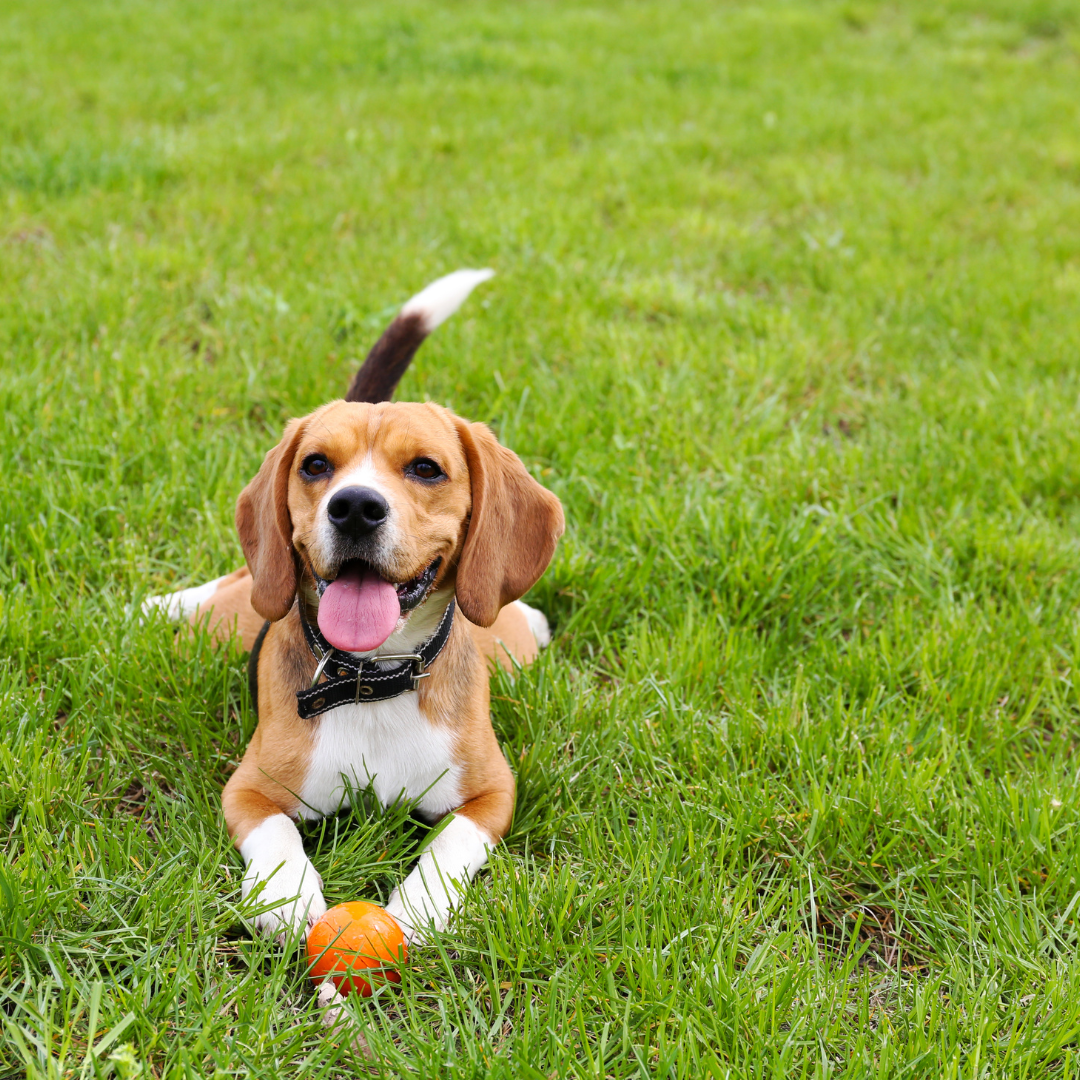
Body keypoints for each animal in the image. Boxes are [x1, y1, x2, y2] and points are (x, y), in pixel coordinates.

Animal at [146, 270, 565, 946]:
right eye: (316, 464)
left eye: (426, 469)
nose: (355, 507)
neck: (374, 679)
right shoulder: (250, 789)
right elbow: (276, 834)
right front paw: (286, 896)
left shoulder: (493, 794)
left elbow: (449, 845)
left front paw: (419, 909)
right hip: (236, 610)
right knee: (229, 587)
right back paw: (158, 604)